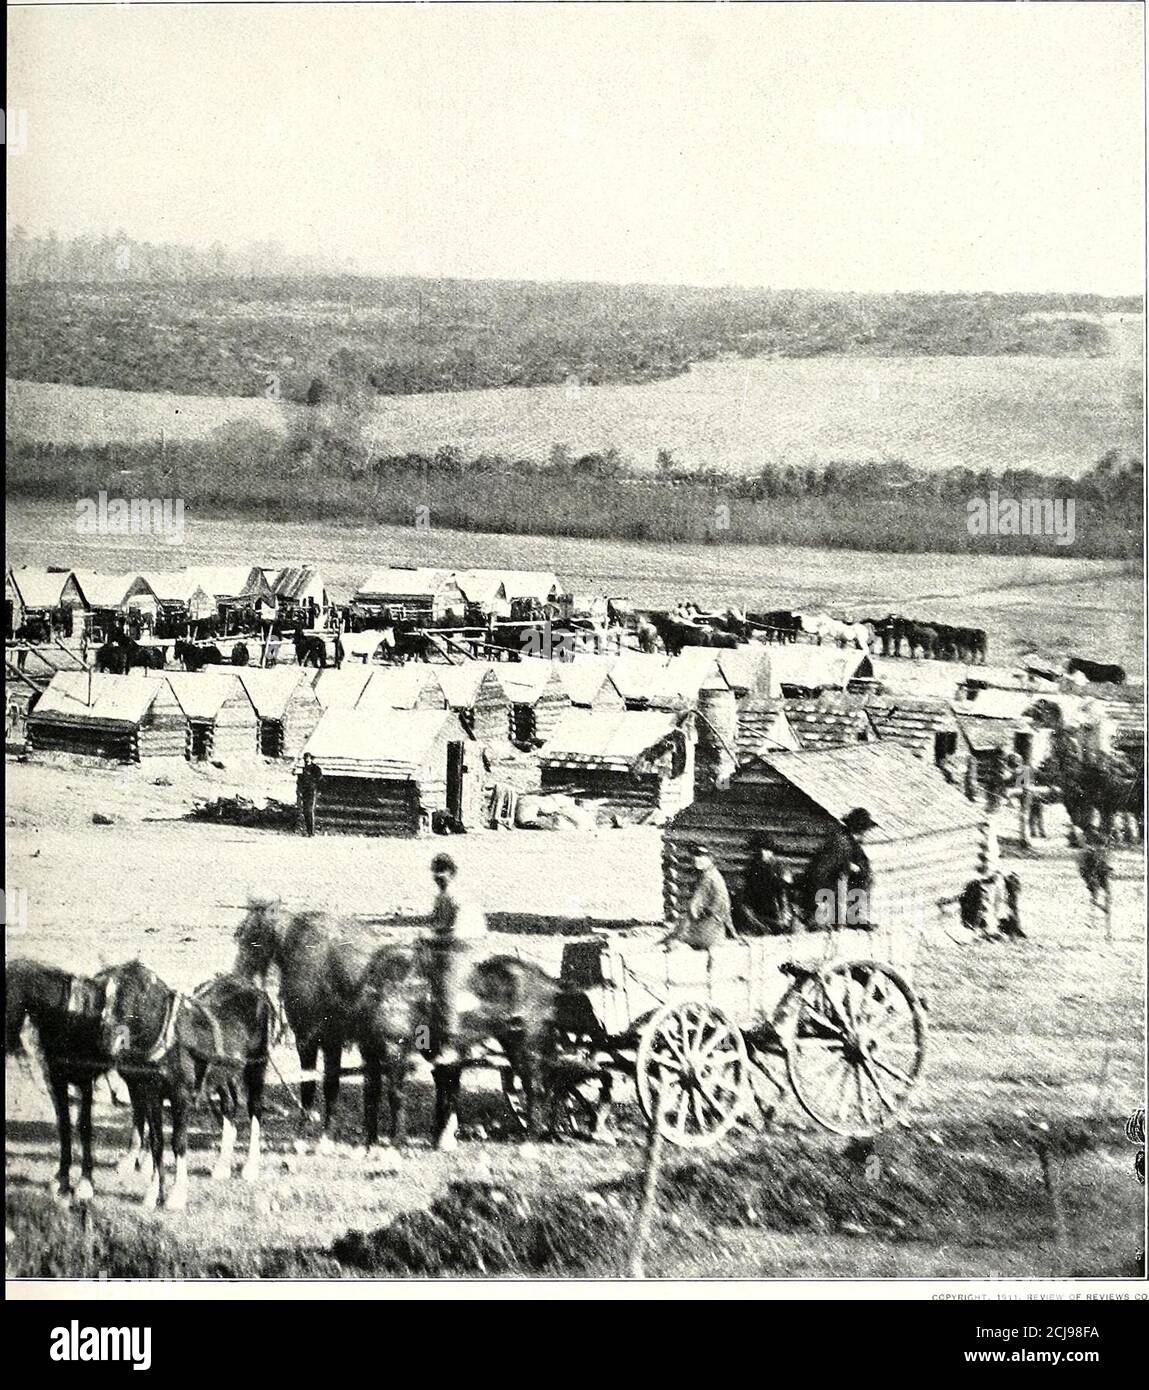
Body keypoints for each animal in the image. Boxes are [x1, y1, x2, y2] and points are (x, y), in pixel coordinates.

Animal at [6, 961, 111, 1200]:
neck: (67, 1019)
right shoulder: (56, 1081)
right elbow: (63, 1125)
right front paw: (62, 1180)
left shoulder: (84, 1082)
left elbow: (84, 1126)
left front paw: (85, 1182)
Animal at [98, 961, 273, 1212]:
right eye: (104, 995)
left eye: (129, 995)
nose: (105, 1042)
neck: (168, 1041)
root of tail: (253, 988)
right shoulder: (150, 1094)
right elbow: (157, 1142)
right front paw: (153, 1193)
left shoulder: (180, 1097)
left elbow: (178, 1142)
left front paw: (176, 1195)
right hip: (222, 1074)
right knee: (229, 1107)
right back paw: (222, 1165)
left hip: (256, 1066)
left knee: (254, 1109)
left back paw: (250, 1166)